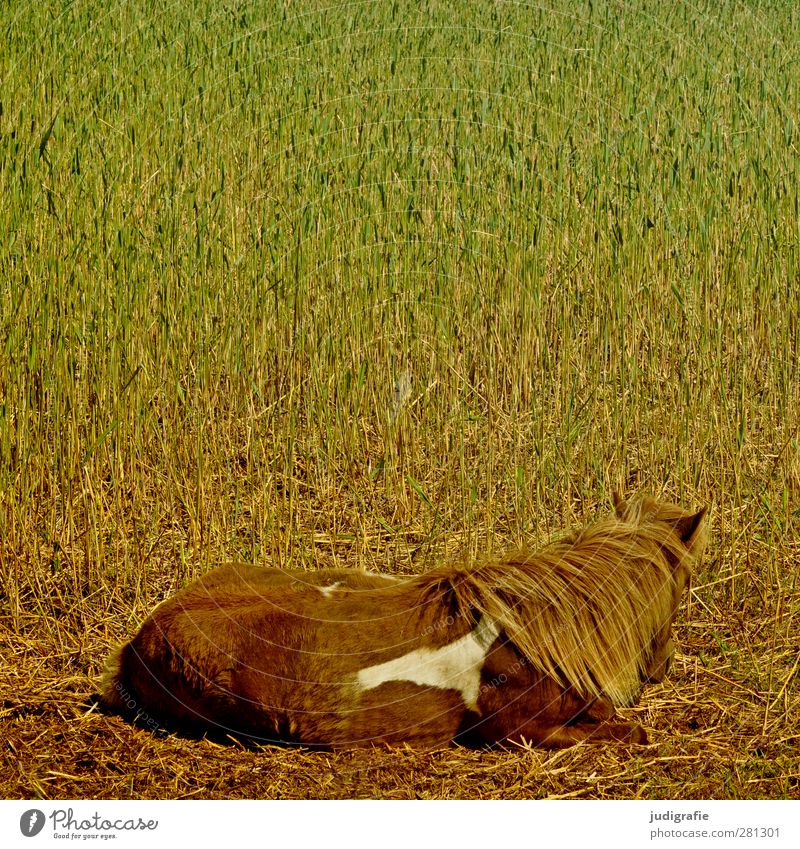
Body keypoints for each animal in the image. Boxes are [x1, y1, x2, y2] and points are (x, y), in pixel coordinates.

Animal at [98, 494, 708, 744]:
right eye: (685, 583)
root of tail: (140, 640)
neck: (527, 634)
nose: (664, 665)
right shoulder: (515, 731)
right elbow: (626, 732)